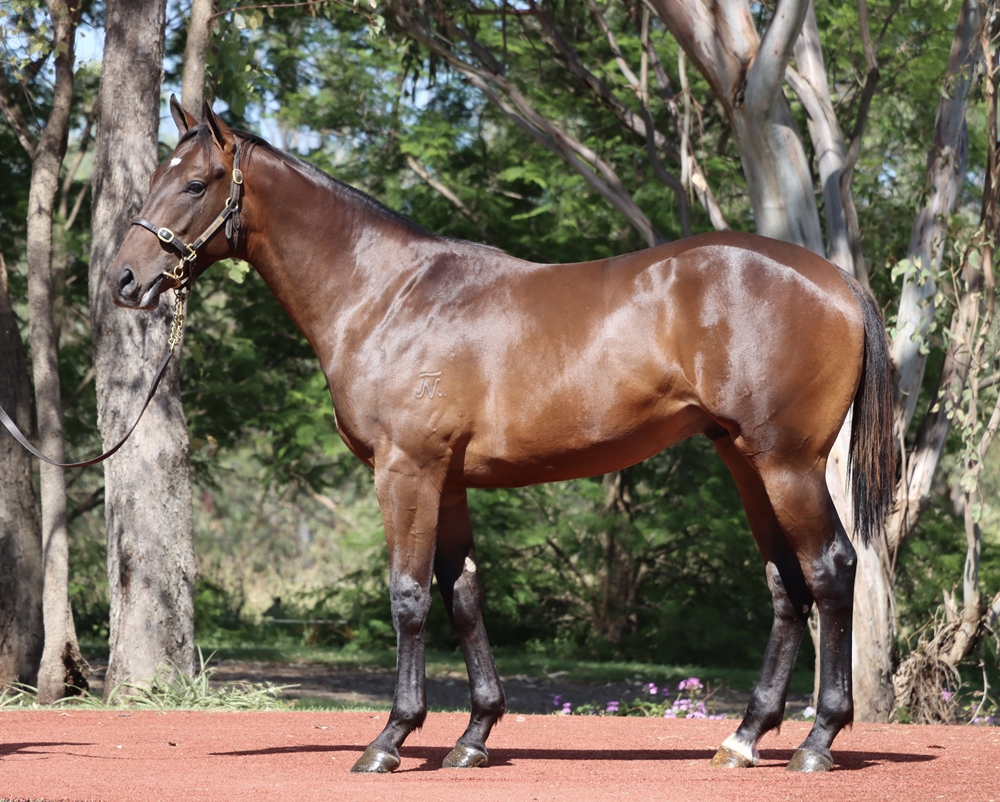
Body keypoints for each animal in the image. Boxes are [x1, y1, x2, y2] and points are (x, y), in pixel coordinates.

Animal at [109, 97, 895, 774]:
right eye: (156, 178)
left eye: (196, 182)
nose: (123, 279)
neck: (387, 295)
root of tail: (837, 281)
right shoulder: (449, 480)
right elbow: (464, 596)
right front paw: (474, 736)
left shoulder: (407, 471)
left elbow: (409, 597)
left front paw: (391, 739)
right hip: (744, 460)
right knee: (786, 583)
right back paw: (744, 737)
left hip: (787, 463)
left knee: (831, 569)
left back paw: (817, 742)